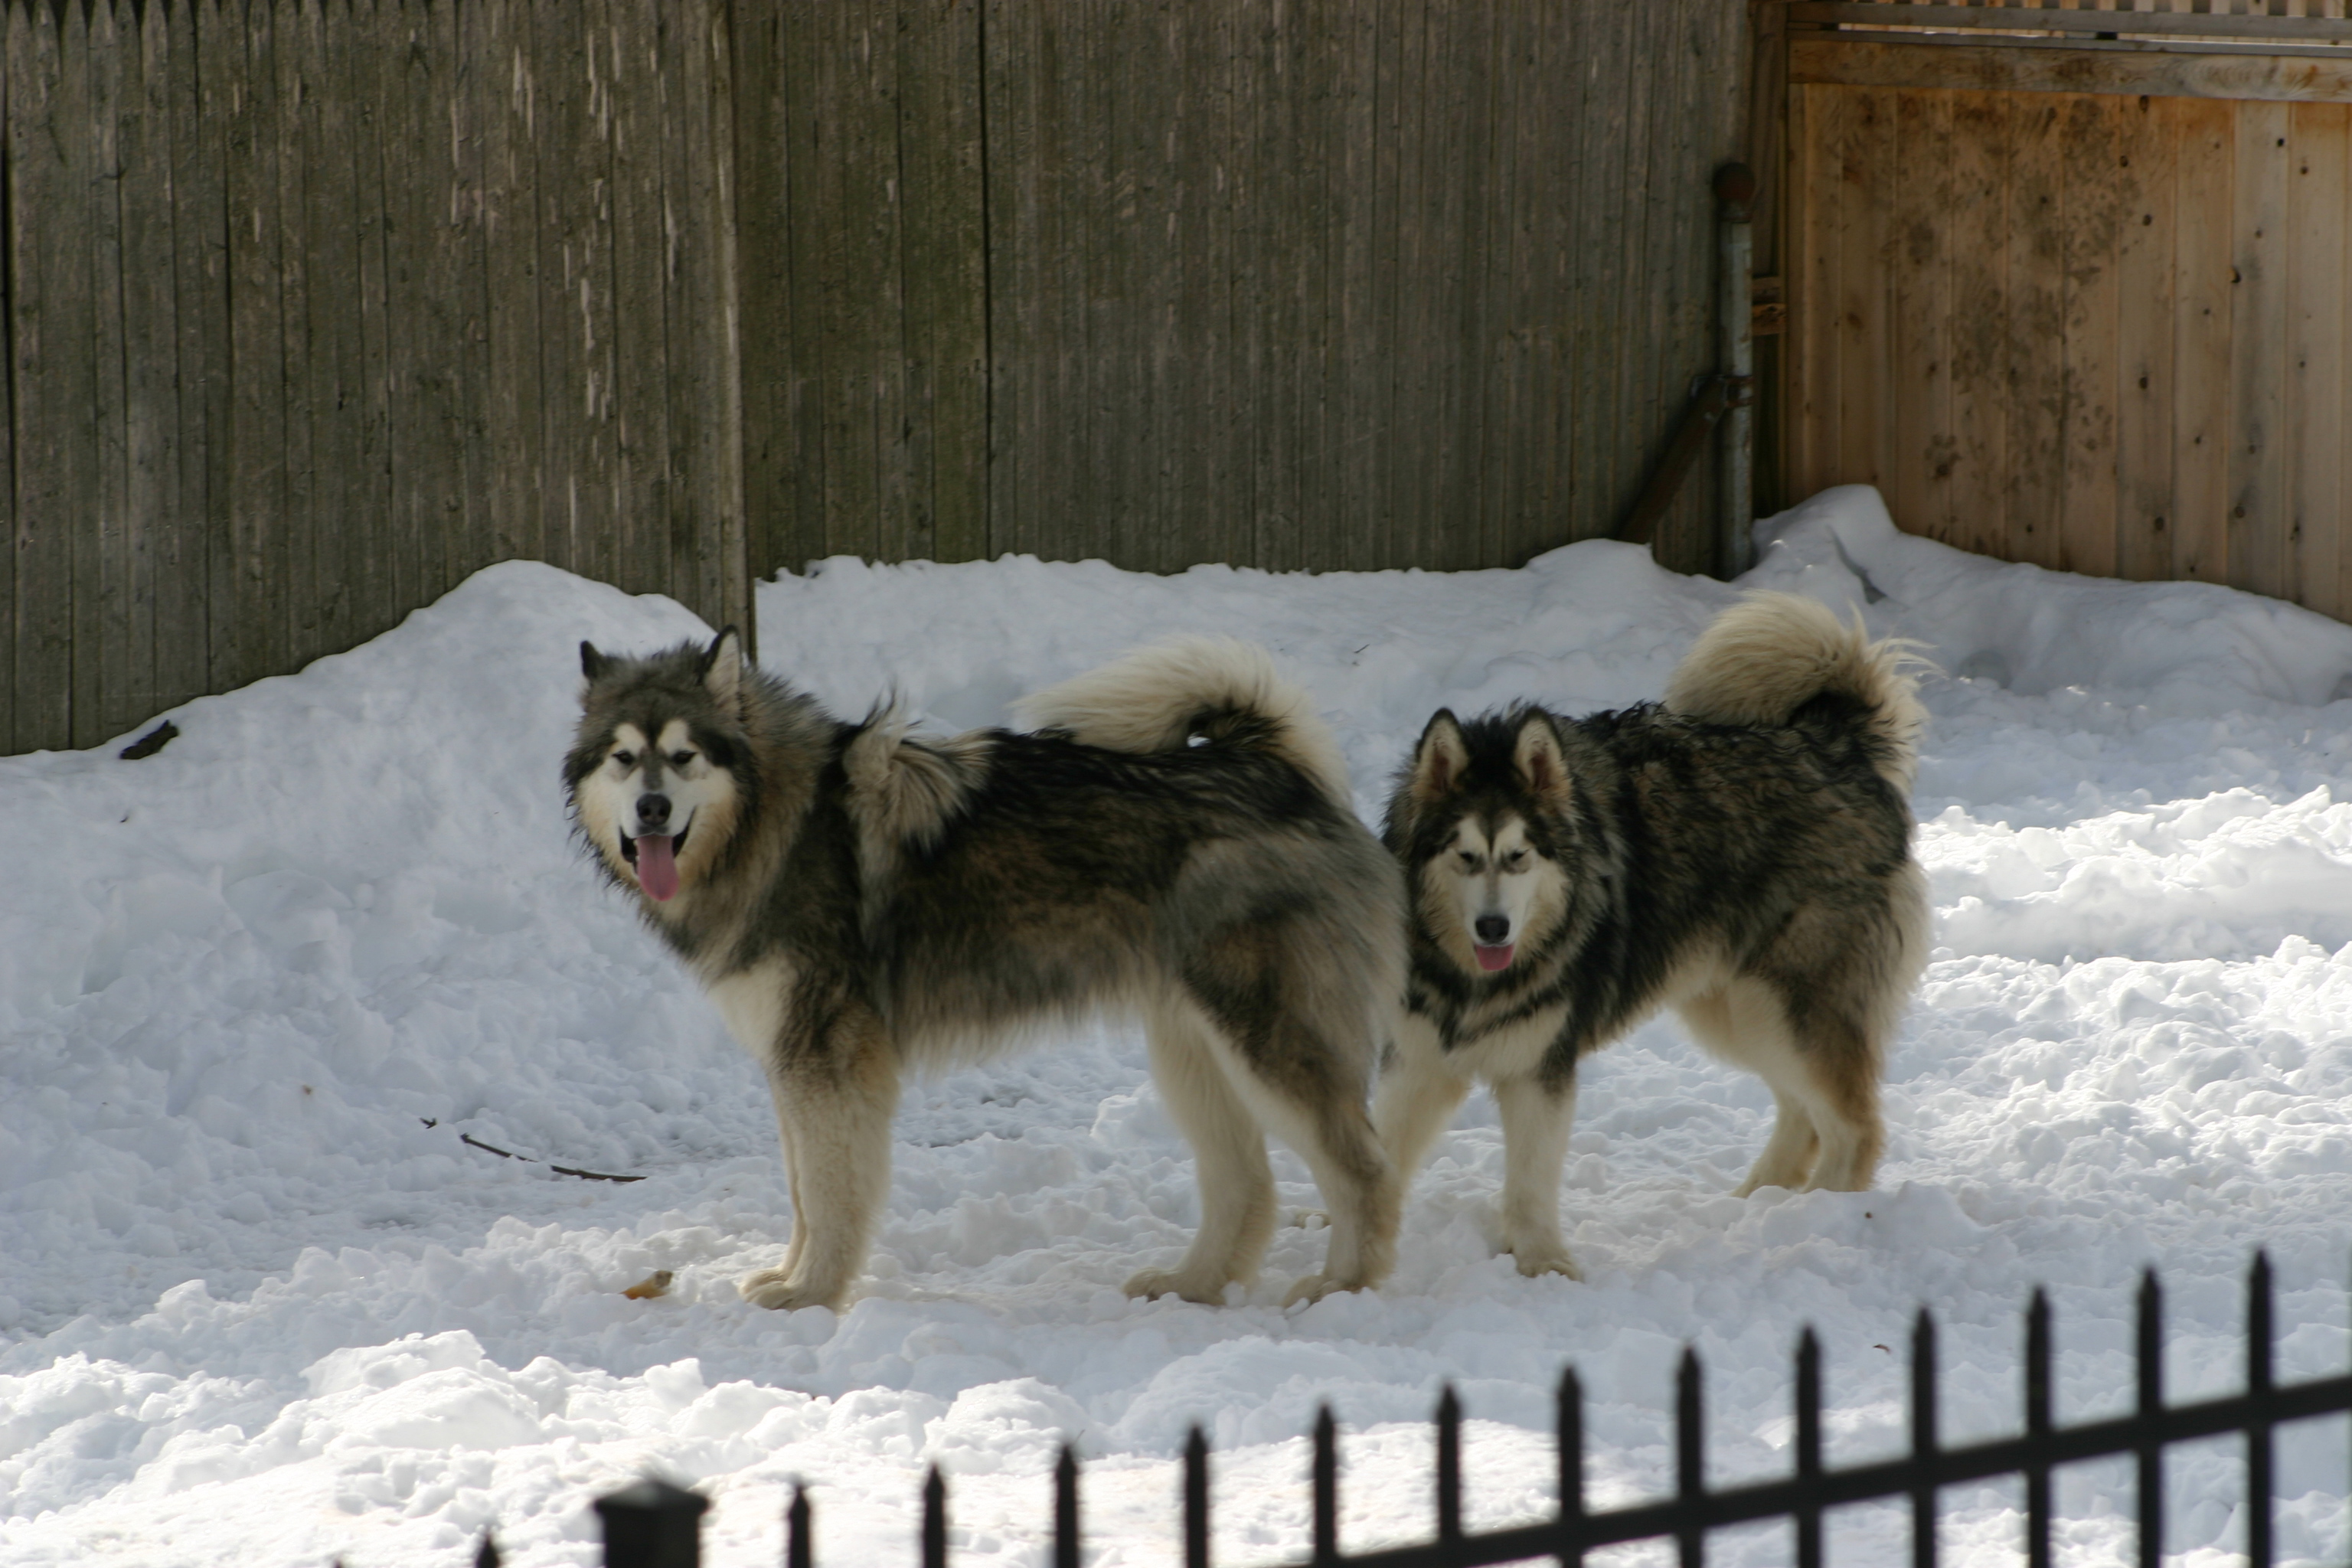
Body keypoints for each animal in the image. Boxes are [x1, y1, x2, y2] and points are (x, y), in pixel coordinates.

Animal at [569, 629, 1401, 1316]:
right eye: (623, 757)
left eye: (684, 756)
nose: (651, 809)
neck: (778, 821)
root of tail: (1276, 768)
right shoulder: (789, 1063)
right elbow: (804, 1190)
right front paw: (791, 1275)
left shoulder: (826, 1060)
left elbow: (832, 1195)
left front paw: (812, 1294)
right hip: (1192, 1050)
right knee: (1248, 1185)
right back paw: (1192, 1285)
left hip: (1265, 1043)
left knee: (1365, 1171)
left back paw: (1342, 1289)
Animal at [1374, 594, 1929, 1279]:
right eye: (1465, 855)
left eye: (1520, 856)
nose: (1494, 927)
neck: (1471, 979)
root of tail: (1835, 743)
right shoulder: (1419, 1060)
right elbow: (1381, 1152)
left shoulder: (1540, 1070)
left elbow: (1529, 1183)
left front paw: (1544, 1267)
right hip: (1739, 1010)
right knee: (1803, 1112)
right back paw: (1759, 1203)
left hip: (1789, 1008)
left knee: (1855, 1129)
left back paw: (1821, 1222)